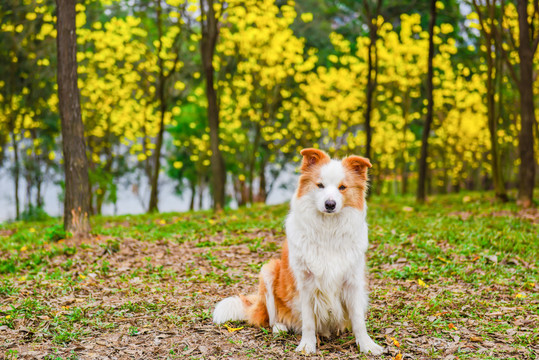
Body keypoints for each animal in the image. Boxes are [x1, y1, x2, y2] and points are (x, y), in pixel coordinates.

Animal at [212, 148, 384, 354]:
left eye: (342, 187)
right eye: (320, 185)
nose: (330, 204)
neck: (328, 230)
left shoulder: (352, 282)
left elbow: (358, 320)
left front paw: (367, 345)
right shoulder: (305, 283)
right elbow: (308, 321)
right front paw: (306, 346)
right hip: (269, 270)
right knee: (269, 319)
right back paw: (280, 326)